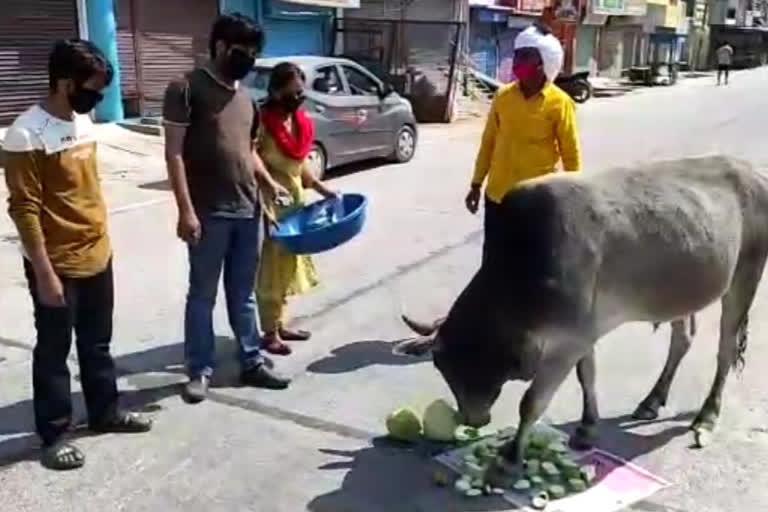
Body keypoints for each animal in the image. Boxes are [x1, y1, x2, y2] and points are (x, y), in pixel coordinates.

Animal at [396, 154, 768, 482]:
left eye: (449, 364)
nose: (472, 418)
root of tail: (752, 172)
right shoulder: (584, 334)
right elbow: (586, 376)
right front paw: (588, 427)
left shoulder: (568, 340)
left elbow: (532, 402)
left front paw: (510, 459)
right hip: (681, 290)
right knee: (684, 337)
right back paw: (651, 401)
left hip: (744, 277)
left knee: (726, 349)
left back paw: (706, 417)